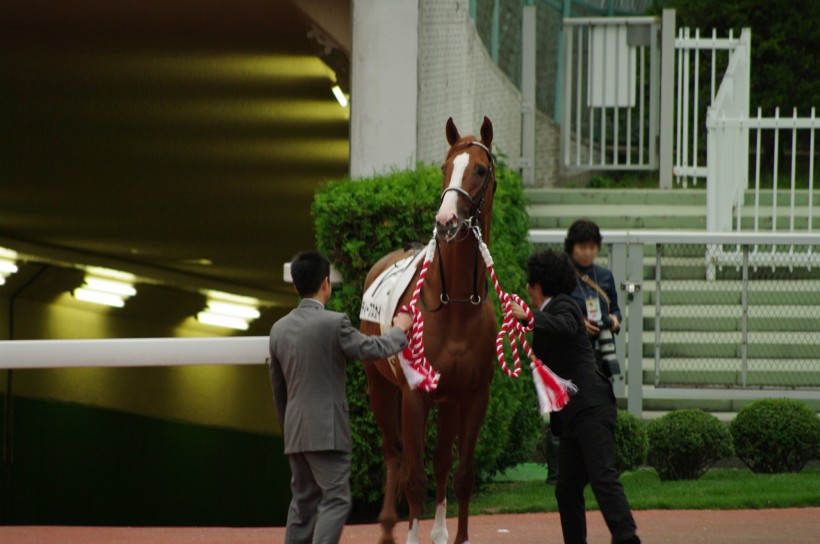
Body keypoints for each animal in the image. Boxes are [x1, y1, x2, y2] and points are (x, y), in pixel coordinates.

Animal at [364, 117, 500, 540]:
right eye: (444, 167)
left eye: (480, 169)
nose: (446, 221)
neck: (453, 303)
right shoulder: (414, 395)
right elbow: (415, 479)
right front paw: (410, 536)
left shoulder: (473, 395)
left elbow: (462, 475)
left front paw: (458, 537)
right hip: (379, 386)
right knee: (394, 455)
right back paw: (387, 526)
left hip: (448, 400)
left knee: (440, 462)